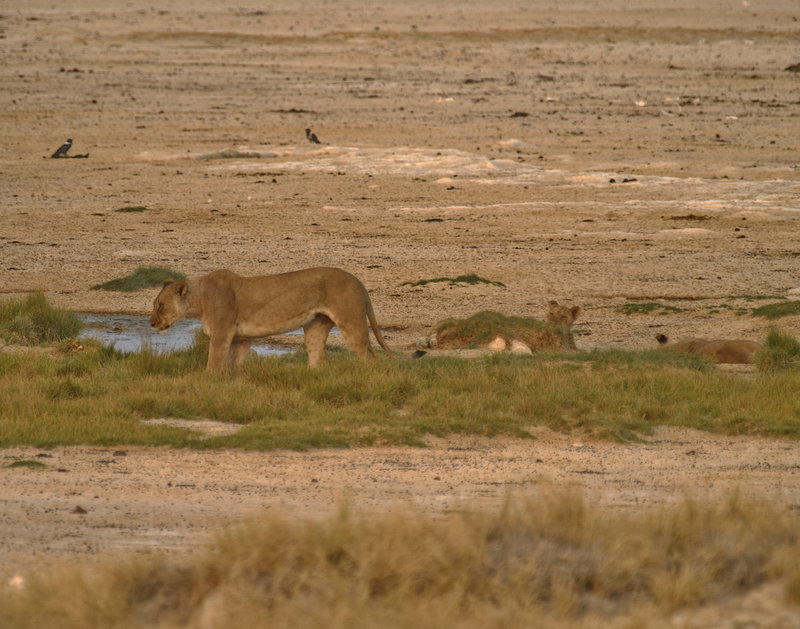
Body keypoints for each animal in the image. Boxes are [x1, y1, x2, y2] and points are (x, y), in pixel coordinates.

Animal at [150, 268, 419, 372]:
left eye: (161, 305)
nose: (151, 324)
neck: (199, 300)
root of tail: (357, 280)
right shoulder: (240, 339)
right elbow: (233, 365)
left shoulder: (221, 334)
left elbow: (213, 364)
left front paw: (207, 380)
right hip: (315, 327)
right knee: (318, 359)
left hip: (351, 322)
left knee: (369, 356)